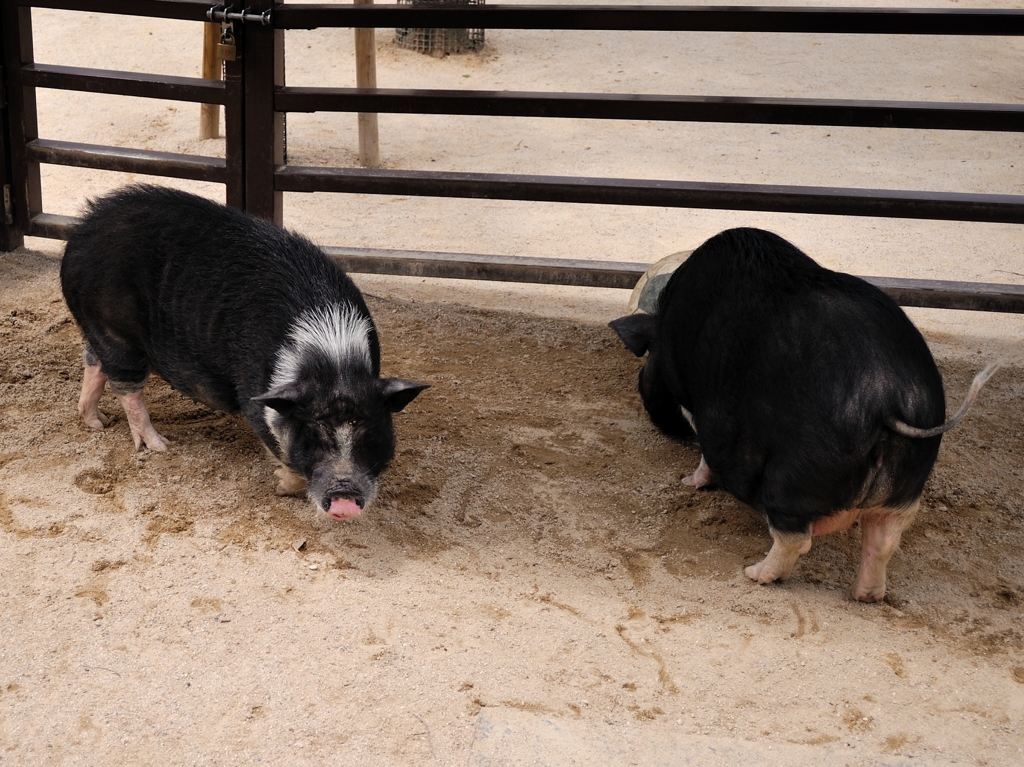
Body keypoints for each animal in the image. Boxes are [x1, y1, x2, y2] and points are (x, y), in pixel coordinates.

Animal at [59, 184, 428, 520]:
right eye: (313, 436)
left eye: (371, 434)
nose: (344, 499)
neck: (333, 361)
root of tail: (81, 232)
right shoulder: (256, 394)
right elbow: (276, 442)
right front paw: (280, 484)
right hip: (113, 329)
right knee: (126, 386)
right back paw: (159, 446)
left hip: (99, 330)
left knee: (94, 361)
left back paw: (97, 423)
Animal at [610, 227, 995, 598]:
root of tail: (887, 399)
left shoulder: (694, 402)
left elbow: (704, 449)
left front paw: (688, 483)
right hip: (907, 487)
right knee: (884, 541)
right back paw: (866, 596)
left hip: (793, 477)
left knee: (795, 538)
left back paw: (754, 574)